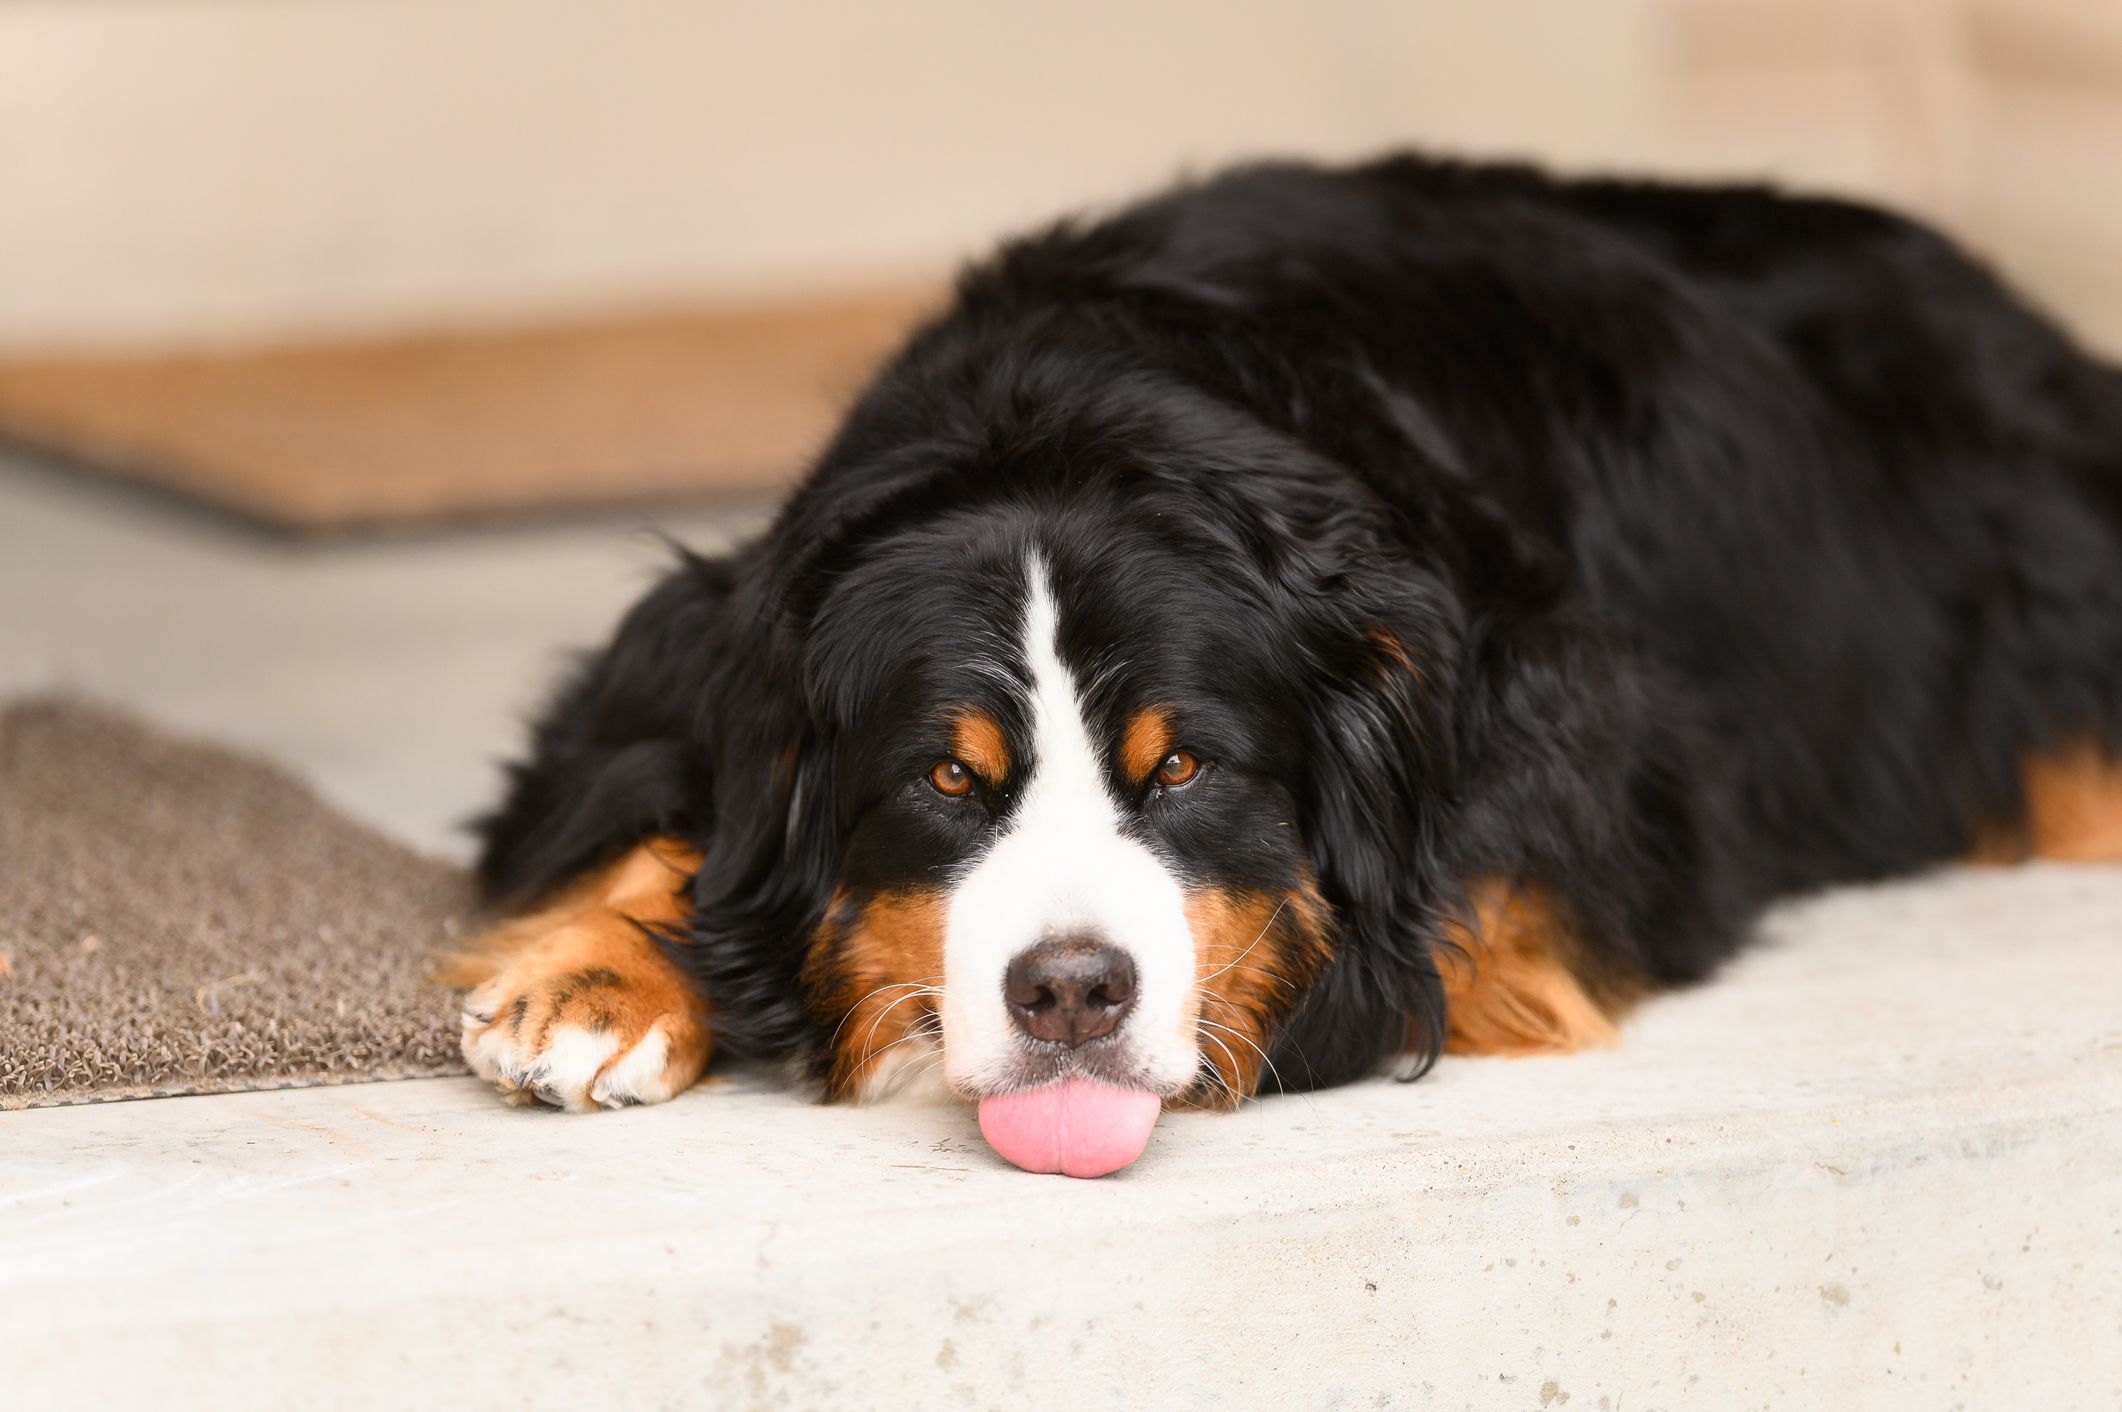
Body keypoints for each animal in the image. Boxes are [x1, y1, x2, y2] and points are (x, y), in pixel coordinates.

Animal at [435, 153, 2122, 1172]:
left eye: (1185, 767)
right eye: (944, 781)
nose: (1070, 995)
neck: (1069, 415)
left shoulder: (1582, 770)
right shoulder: (696, 645)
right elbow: (657, 807)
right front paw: (595, 978)